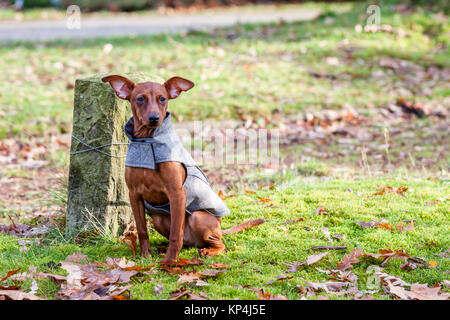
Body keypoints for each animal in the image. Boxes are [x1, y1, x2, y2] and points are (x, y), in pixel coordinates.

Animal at [101, 75, 264, 264]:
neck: (148, 141)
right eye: (140, 99)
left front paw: (170, 262)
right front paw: (145, 256)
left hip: (198, 218)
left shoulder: (177, 194)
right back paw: (163, 248)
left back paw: (207, 251)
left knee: (219, 243)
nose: (154, 118)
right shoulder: (134, 195)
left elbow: (175, 234)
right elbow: (142, 230)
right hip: (159, 219)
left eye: (162, 99)